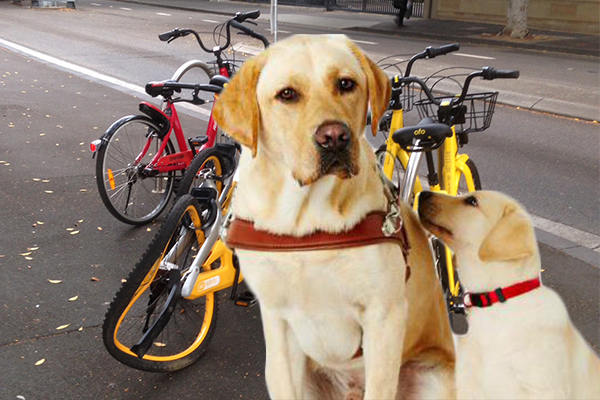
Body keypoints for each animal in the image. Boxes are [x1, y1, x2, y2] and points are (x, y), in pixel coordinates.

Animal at [213, 35, 452, 400]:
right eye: (287, 94)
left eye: (346, 84)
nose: (335, 138)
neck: (306, 222)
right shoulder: (278, 322)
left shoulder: (385, 316)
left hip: (432, 373)